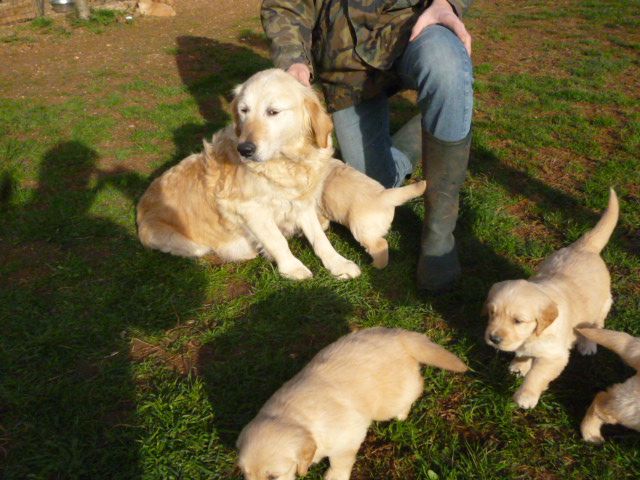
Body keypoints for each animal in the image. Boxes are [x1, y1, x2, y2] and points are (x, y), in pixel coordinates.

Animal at [136, 69, 360, 284]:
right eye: (244, 110)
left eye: (273, 112)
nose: (244, 149)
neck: (284, 162)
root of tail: (140, 206)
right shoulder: (250, 209)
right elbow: (277, 240)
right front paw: (292, 268)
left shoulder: (300, 202)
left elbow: (319, 237)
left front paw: (338, 263)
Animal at [235, 326, 464, 480]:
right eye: (245, 474)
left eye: (273, 476)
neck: (291, 415)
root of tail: (399, 335)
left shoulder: (348, 437)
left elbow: (341, 461)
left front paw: (334, 476)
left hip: (389, 400)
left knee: (416, 387)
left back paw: (402, 413)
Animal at [484, 188, 620, 408]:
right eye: (491, 314)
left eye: (518, 321)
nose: (493, 339)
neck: (534, 333)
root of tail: (584, 247)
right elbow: (525, 353)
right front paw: (519, 365)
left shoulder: (554, 356)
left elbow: (538, 375)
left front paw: (526, 396)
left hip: (603, 303)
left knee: (597, 324)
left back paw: (588, 345)